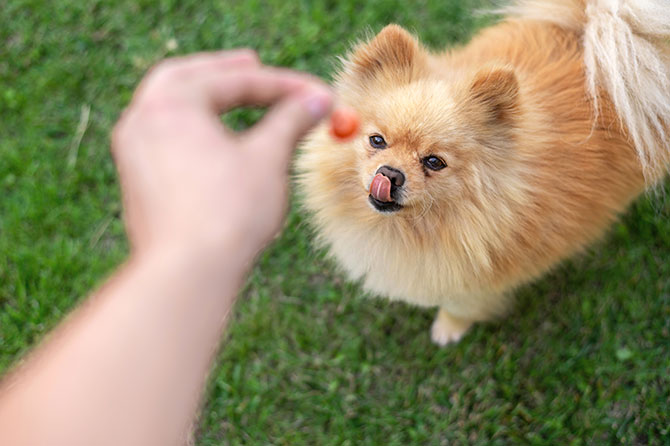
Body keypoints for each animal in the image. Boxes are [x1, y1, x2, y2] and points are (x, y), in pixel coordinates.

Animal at [300, 0, 670, 346]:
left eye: (434, 162)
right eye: (377, 140)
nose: (389, 173)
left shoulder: (474, 282)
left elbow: (459, 307)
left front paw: (448, 329)